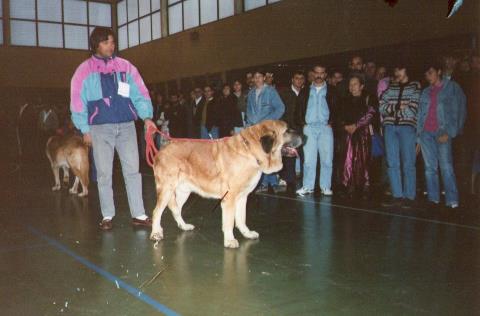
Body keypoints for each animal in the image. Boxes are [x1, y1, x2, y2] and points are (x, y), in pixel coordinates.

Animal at [148, 119, 302, 248]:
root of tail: (161, 150)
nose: (303, 135)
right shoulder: (230, 198)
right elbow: (229, 222)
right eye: (287, 131)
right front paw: (229, 240)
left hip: (183, 191)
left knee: (176, 209)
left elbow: (241, 219)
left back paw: (183, 226)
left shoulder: (242, 197)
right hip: (167, 189)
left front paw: (247, 233)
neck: (251, 151)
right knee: (157, 212)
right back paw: (156, 233)